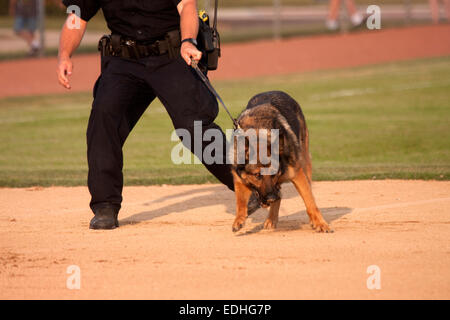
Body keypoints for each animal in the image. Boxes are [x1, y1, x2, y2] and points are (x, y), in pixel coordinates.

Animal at [232, 90, 330, 232]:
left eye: (273, 173)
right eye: (257, 175)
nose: (271, 198)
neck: (258, 134)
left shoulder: (297, 175)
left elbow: (310, 202)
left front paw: (320, 223)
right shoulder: (239, 179)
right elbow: (240, 202)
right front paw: (239, 219)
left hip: (304, 161)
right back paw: (271, 219)